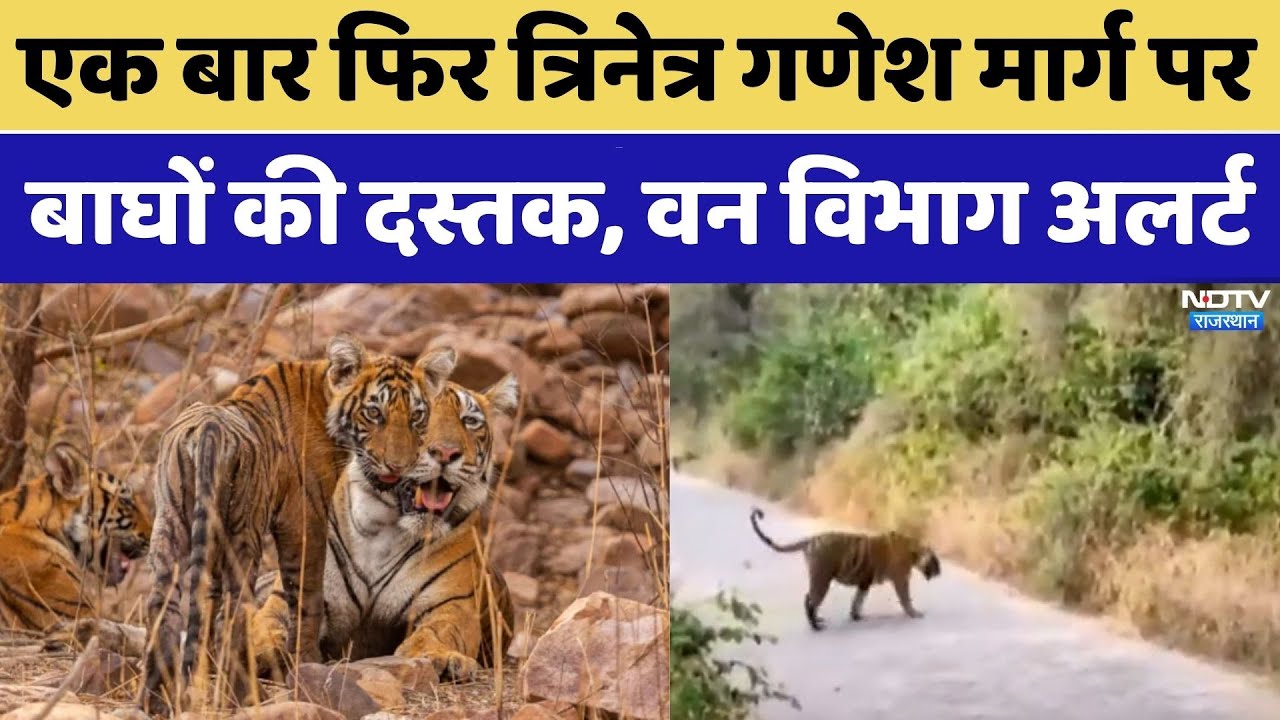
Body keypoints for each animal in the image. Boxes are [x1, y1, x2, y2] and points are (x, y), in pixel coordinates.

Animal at [140, 335, 457, 715]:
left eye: (416, 417)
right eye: (373, 413)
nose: (398, 466)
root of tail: (208, 428)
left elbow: (207, 602)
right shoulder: (305, 517)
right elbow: (307, 594)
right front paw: (307, 662)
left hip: (171, 524)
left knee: (163, 607)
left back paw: (153, 702)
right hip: (244, 532)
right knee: (235, 612)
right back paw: (246, 697)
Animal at [250, 373, 519, 681]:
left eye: (469, 420)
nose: (445, 452)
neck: (385, 529)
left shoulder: (451, 605)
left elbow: (436, 632)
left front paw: (438, 657)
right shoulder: (290, 597)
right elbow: (268, 625)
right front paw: (260, 651)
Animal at [750, 507, 941, 631]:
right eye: (935, 561)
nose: (940, 572)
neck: (913, 551)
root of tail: (811, 540)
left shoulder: (864, 582)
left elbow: (858, 600)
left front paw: (856, 616)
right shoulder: (900, 580)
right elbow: (906, 599)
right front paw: (914, 614)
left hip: (820, 579)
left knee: (810, 599)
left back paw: (817, 621)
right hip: (822, 579)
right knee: (810, 600)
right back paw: (815, 626)